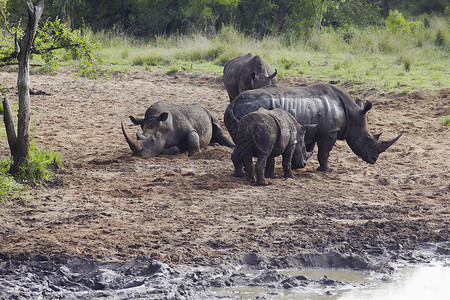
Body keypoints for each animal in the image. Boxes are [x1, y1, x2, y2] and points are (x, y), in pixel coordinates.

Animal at [225, 83, 404, 172]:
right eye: (368, 138)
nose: (374, 159)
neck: (352, 114)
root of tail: (233, 104)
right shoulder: (329, 132)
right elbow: (324, 152)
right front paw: (326, 170)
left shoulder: (313, 129)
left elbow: (308, 147)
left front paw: (298, 166)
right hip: (250, 110)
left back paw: (242, 172)